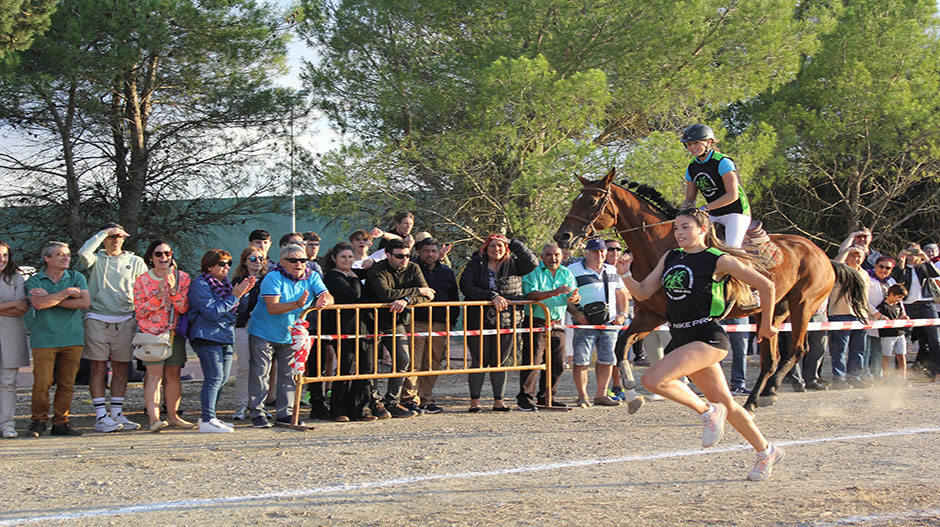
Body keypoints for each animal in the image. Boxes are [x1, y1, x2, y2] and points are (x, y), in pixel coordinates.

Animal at [552, 168, 868, 412]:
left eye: (591, 200)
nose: (562, 236)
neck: (661, 245)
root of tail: (823, 254)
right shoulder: (650, 315)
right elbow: (621, 346)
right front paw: (633, 395)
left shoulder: (672, 318)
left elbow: (674, 354)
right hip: (771, 312)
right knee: (771, 357)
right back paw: (757, 398)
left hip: (803, 305)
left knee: (798, 349)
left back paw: (768, 392)